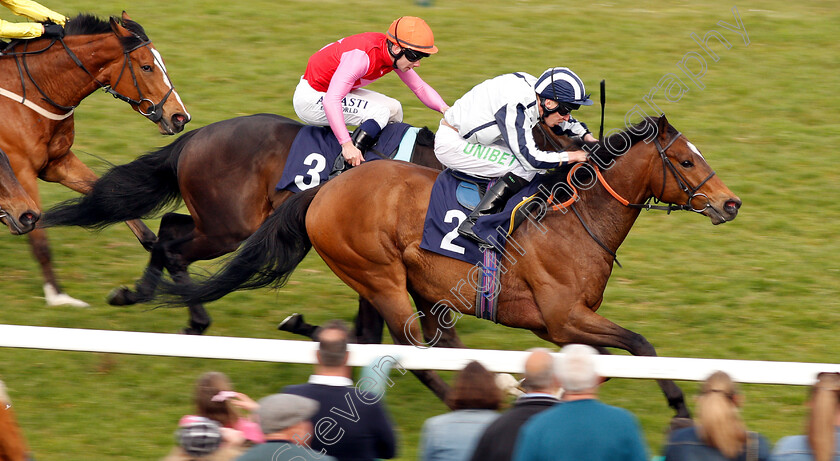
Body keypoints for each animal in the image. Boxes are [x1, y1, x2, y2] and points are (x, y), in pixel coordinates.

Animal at [0, 11, 189, 306]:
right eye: (147, 67)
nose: (180, 117)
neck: (30, 93)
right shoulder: (20, 172)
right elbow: (38, 238)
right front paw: (58, 296)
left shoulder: (58, 163)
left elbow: (113, 200)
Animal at [154, 114, 740, 414]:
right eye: (686, 160)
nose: (730, 203)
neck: (574, 217)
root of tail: (326, 188)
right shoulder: (560, 318)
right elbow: (641, 345)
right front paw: (679, 404)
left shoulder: (566, 325)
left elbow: (606, 362)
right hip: (380, 275)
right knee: (413, 348)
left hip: (411, 283)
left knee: (419, 342)